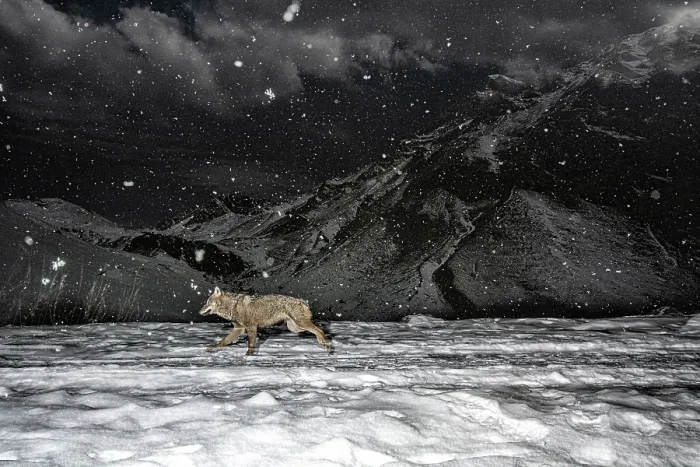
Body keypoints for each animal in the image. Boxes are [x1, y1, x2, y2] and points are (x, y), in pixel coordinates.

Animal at [199, 287, 331, 355]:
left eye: (207, 303)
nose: (199, 312)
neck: (233, 306)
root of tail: (302, 301)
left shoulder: (251, 328)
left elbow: (251, 344)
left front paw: (249, 356)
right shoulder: (239, 329)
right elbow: (223, 341)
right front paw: (213, 348)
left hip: (300, 324)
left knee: (319, 330)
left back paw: (327, 345)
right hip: (295, 328)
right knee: (318, 329)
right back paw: (324, 342)